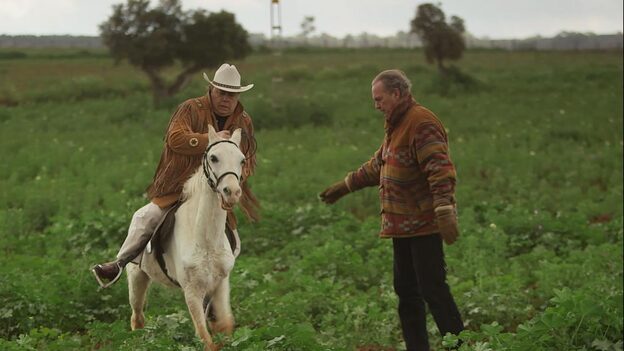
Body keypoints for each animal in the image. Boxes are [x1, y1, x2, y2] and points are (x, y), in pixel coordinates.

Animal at [125, 126, 245, 351]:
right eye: (214, 157)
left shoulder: (220, 284)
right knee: (137, 317)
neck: (205, 240)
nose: (232, 192)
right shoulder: (191, 292)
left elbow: (225, 324)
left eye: (242, 160)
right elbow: (205, 337)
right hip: (136, 279)